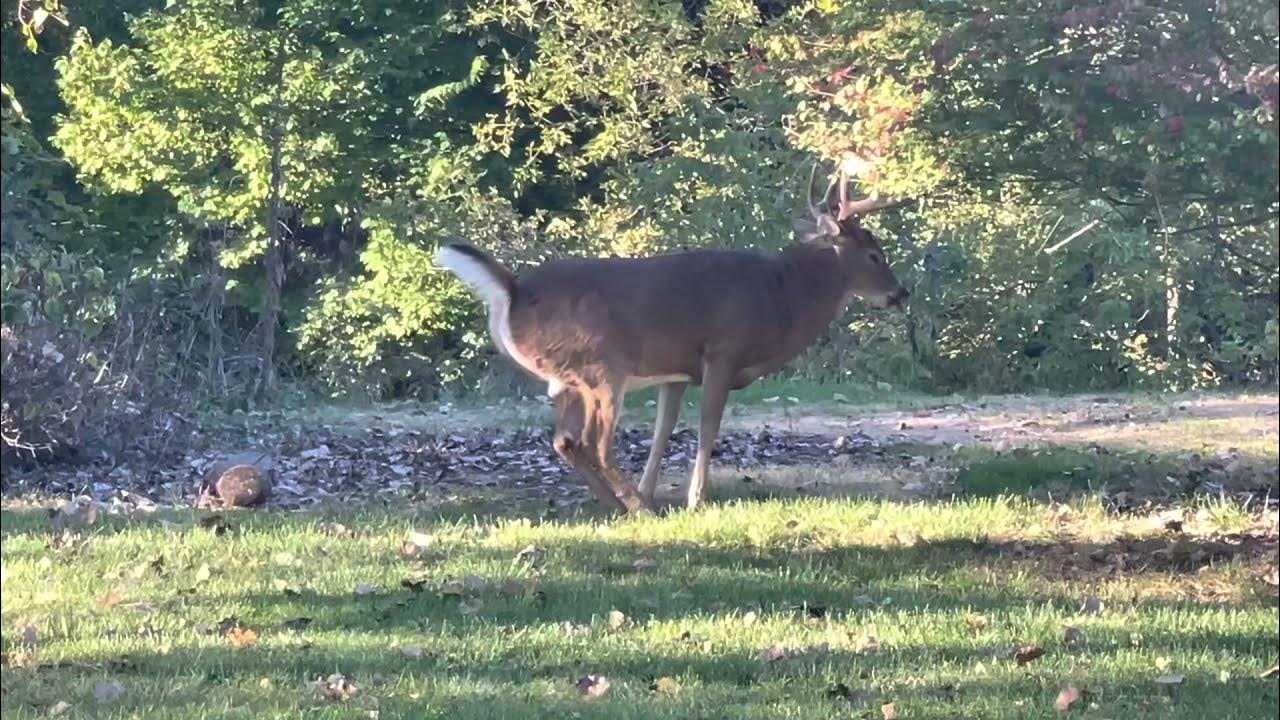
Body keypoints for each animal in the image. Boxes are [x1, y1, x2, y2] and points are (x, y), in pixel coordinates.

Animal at [435, 168, 909, 515]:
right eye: (875, 256)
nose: (900, 293)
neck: (781, 298)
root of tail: (513, 290)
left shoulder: (675, 372)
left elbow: (663, 430)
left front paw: (649, 491)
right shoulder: (721, 351)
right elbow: (707, 428)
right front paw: (695, 498)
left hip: (572, 380)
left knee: (565, 441)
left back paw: (621, 506)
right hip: (602, 365)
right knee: (595, 443)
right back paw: (637, 510)